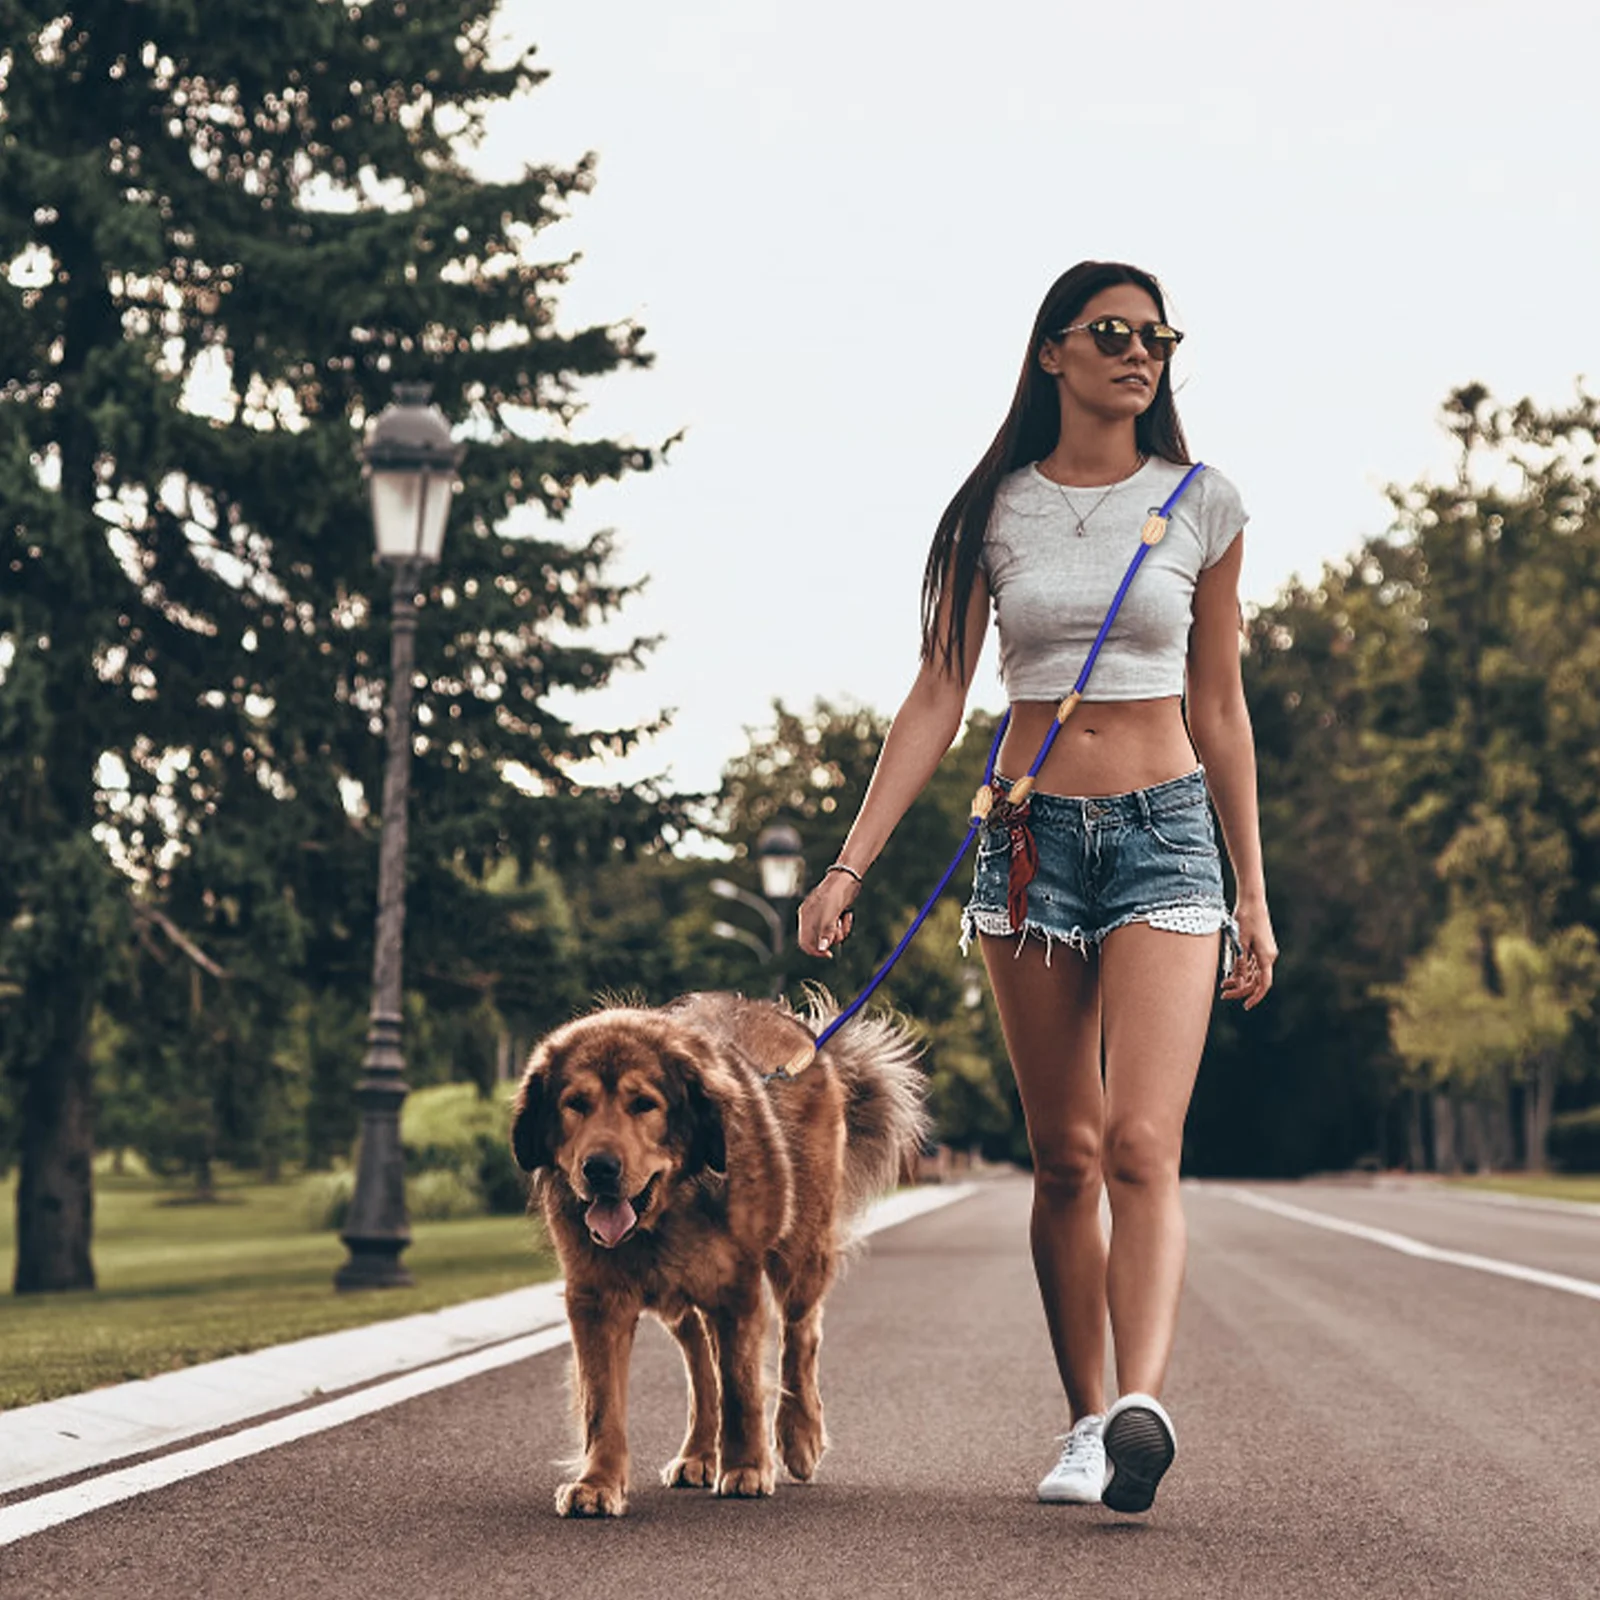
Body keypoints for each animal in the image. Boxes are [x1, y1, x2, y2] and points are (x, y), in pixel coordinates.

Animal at [505, 992, 934, 1516]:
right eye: (576, 1105)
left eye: (643, 1104)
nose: (599, 1168)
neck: (666, 1214)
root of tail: (804, 1032)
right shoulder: (595, 1299)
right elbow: (603, 1403)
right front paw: (597, 1482)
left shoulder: (735, 1289)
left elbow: (740, 1386)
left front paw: (747, 1466)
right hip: (682, 1299)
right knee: (700, 1365)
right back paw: (697, 1454)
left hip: (799, 1252)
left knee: (800, 1334)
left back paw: (799, 1436)